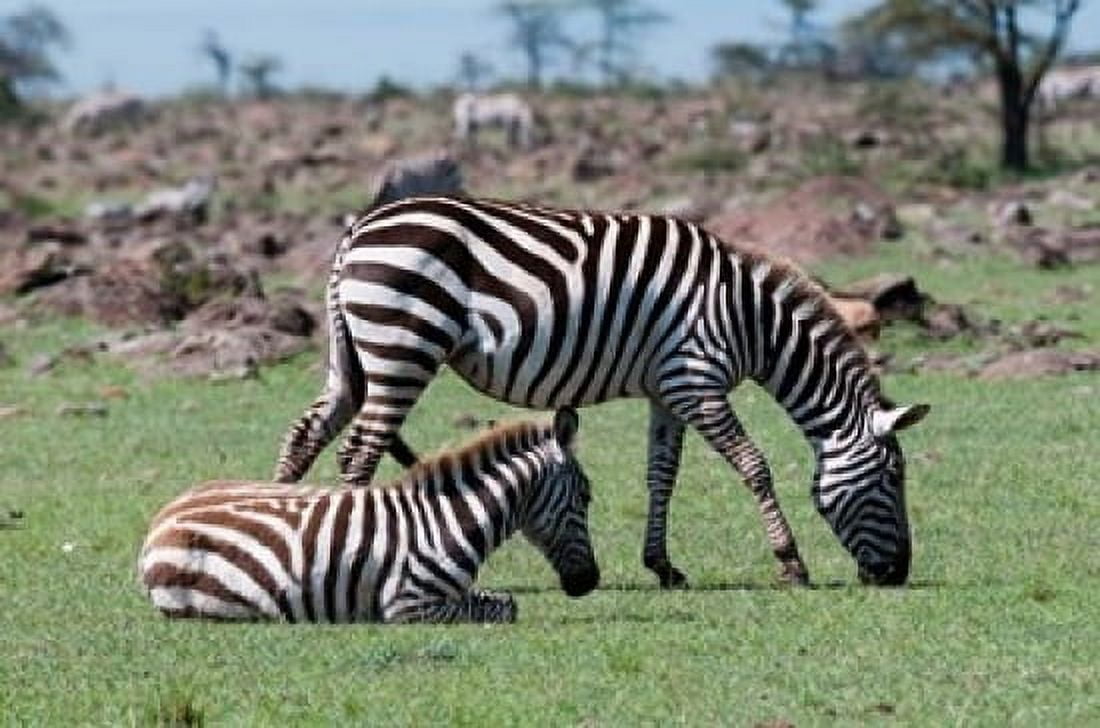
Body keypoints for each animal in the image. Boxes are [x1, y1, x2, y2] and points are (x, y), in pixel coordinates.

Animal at [141, 409, 598, 623]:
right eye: (586, 496)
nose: (589, 582)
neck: (450, 520)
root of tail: (164, 516)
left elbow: (503, 602)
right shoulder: (408, 603)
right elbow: (502, 609)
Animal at [274, 196, 930, 588]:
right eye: (893, 478)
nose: (897, 573)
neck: (750, 320)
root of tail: (358, 228)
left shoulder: (669, 389)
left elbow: (662, 475)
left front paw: (663, 567)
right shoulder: (697, 379)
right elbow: (753, 465)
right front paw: (791, 563)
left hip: (355, 356)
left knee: (307, 432)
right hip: (403, 345)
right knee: (358, 450)